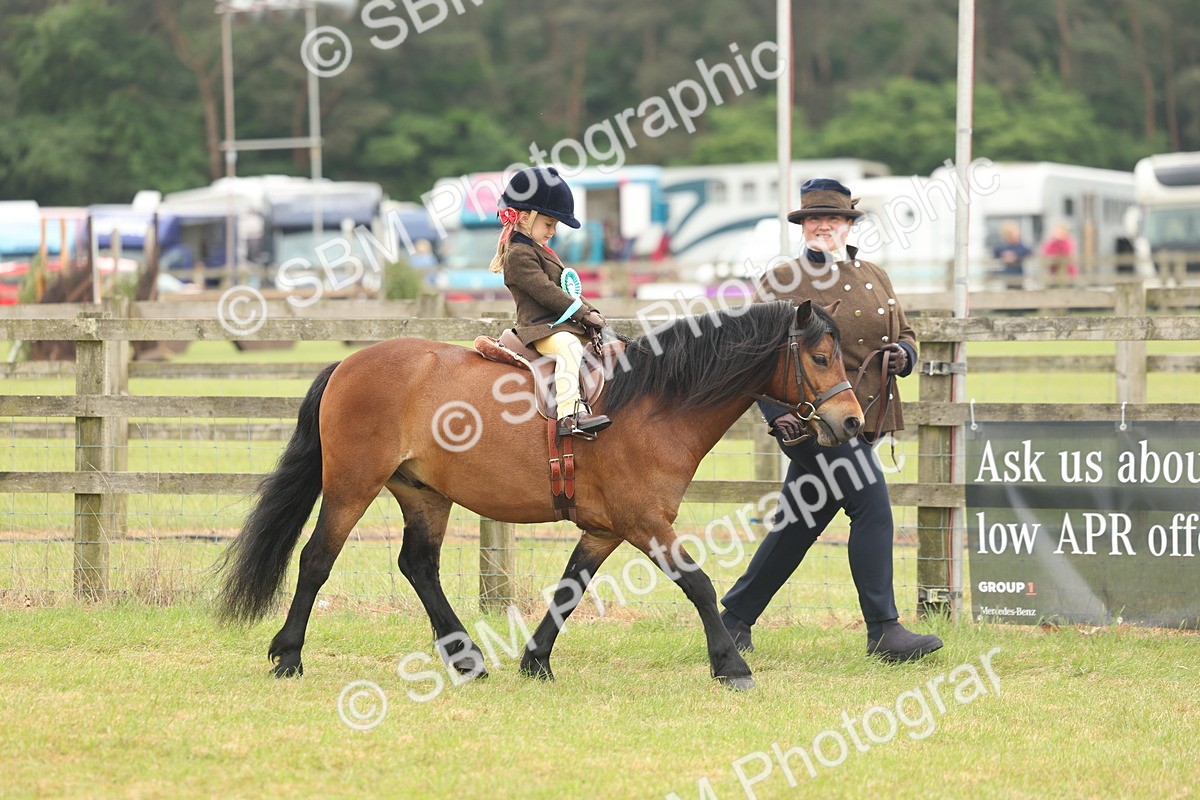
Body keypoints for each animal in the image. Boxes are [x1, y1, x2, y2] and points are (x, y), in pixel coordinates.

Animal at [217, 299, 863, 690]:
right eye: (821, 356)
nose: (853, 421)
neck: (653, 402)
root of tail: (349, 363)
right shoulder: (646, 523)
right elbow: (700, 585)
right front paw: (731, 665)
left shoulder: (604, 529)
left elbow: (570, 589)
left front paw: (536, 659)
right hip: (352, 487)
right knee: (316, 560)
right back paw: (289, 655)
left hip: (425, 495)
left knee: (418, 566)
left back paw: (466, 657)